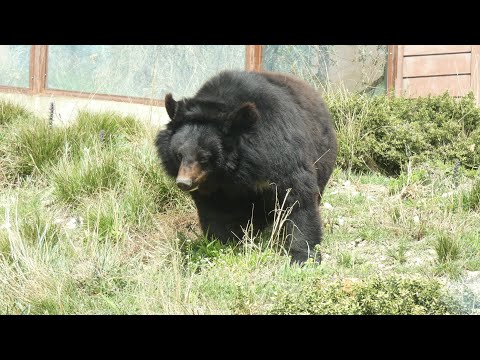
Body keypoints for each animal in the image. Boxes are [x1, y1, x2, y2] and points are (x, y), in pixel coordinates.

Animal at [156, 70, 336, 262]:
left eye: (204, 158)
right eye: (179, 155)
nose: (184, 183)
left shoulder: (279, 147)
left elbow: (297, 194)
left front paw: (304, 256)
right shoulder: (213, 186)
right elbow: (213, 209)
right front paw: (220, 242)